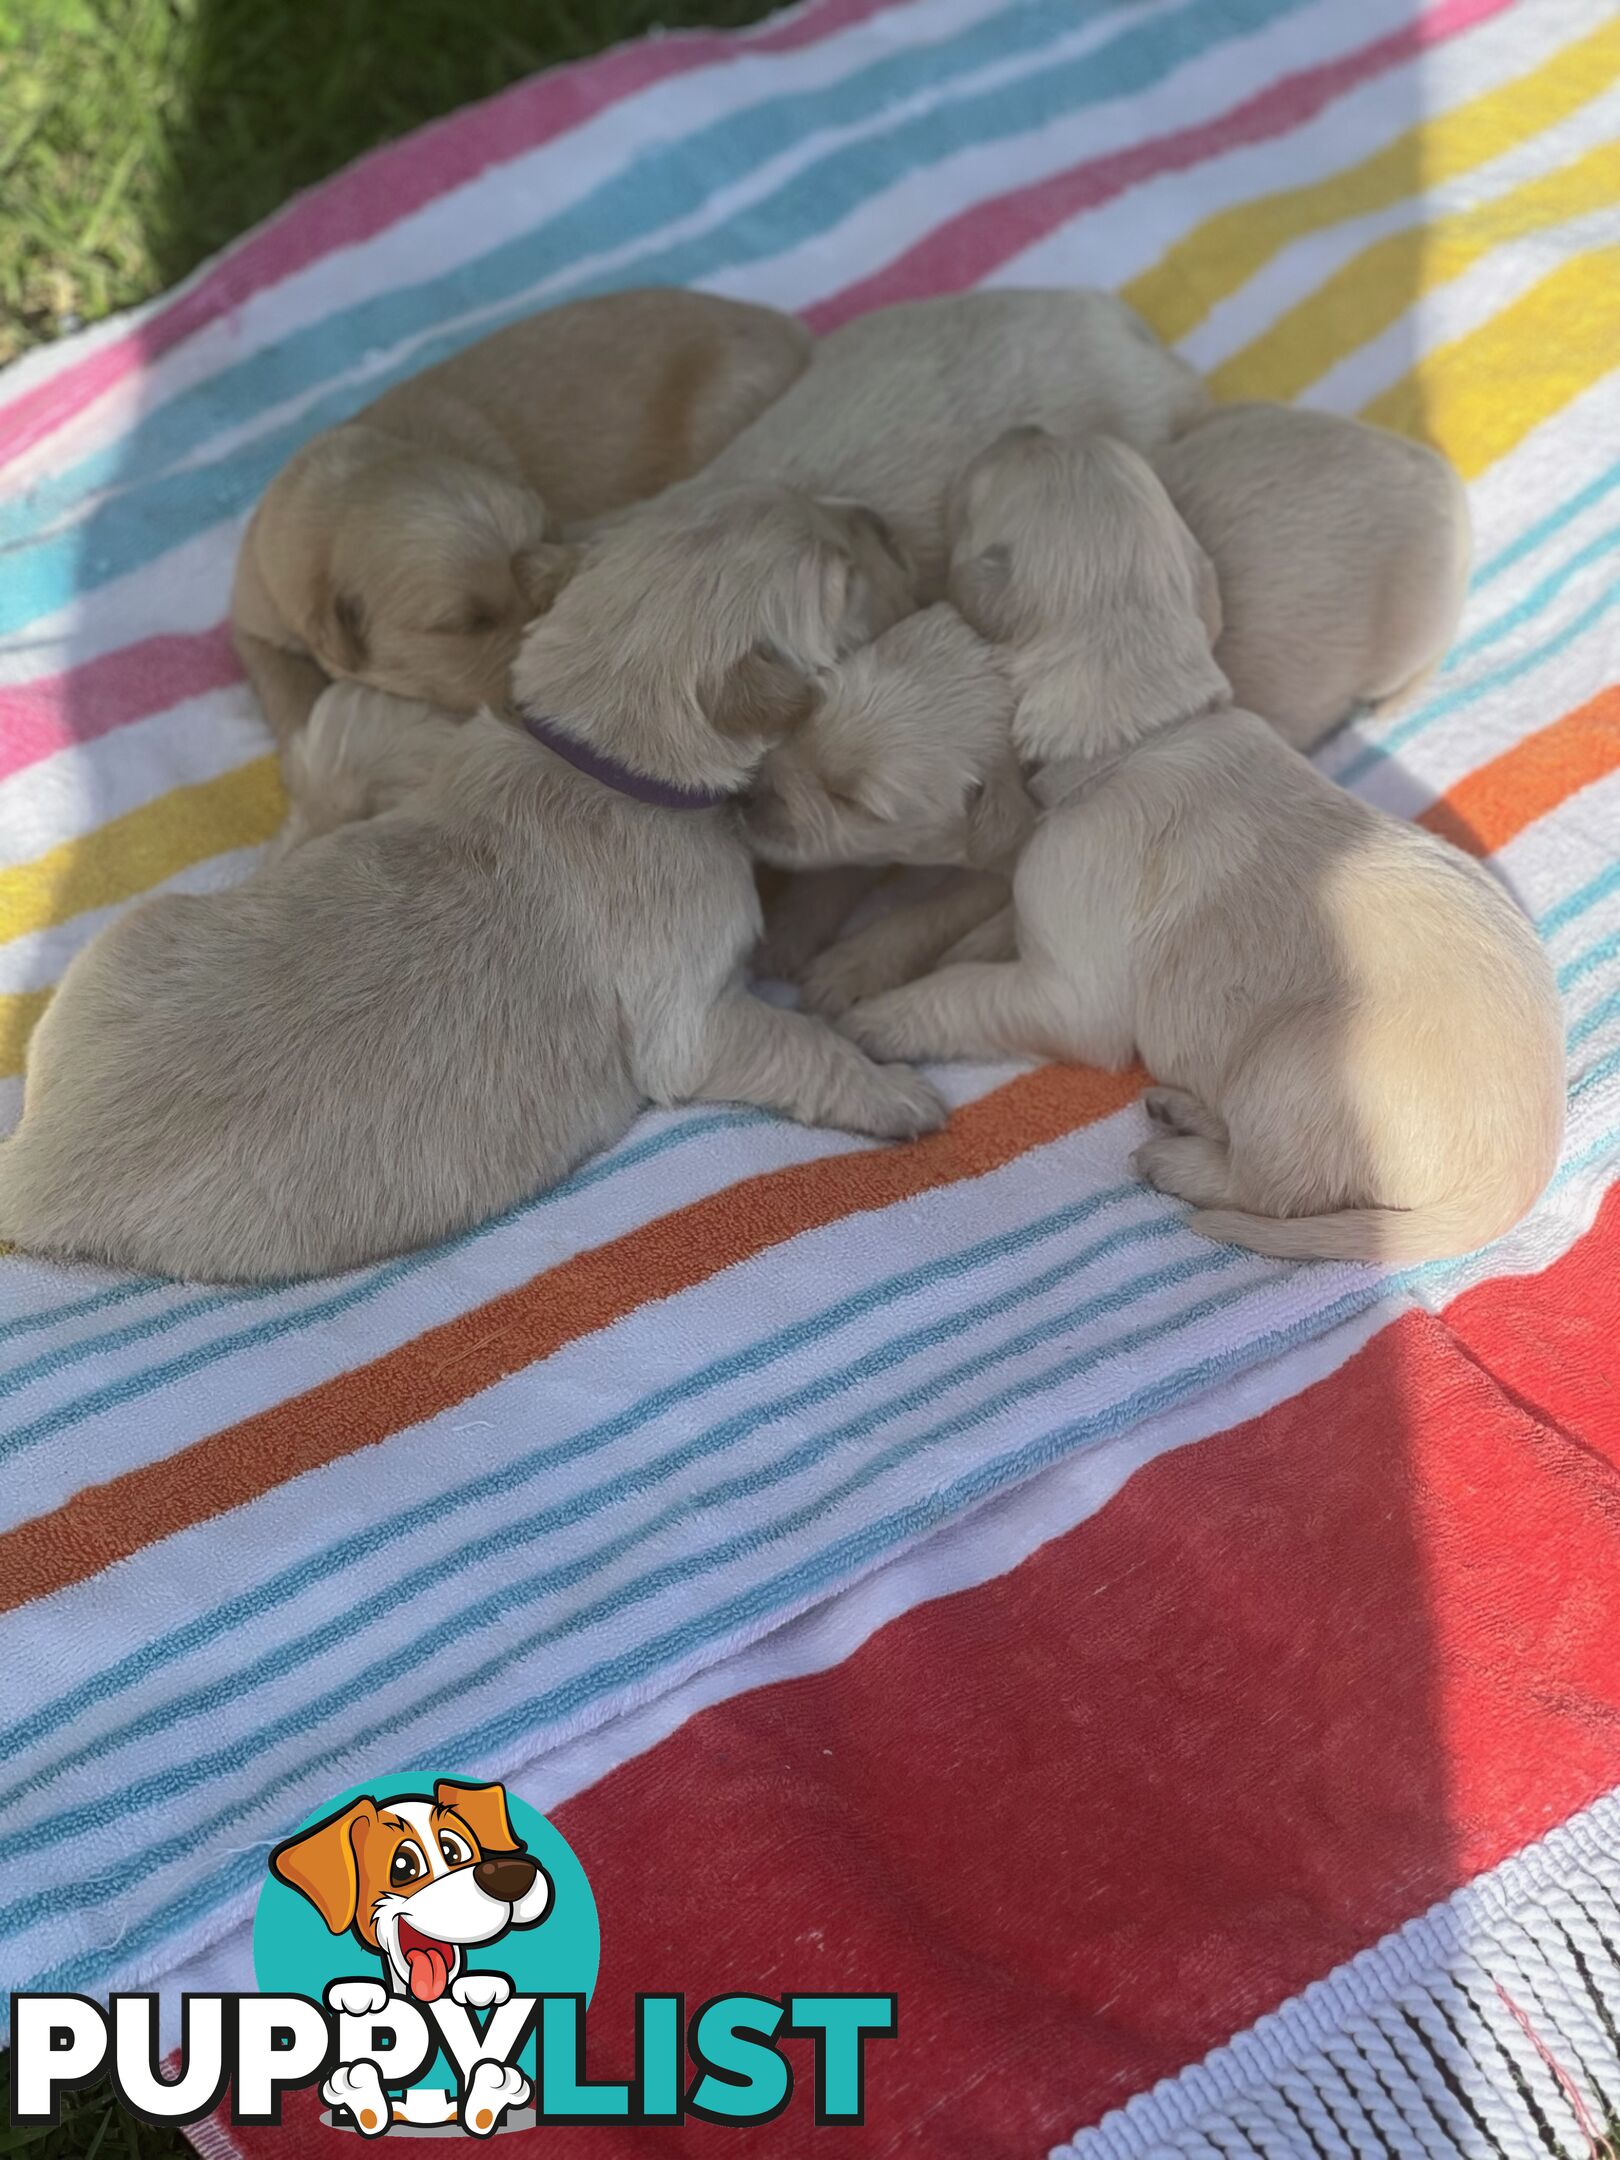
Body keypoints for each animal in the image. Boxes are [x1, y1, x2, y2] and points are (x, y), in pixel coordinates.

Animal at [0, 486, 946, 1278]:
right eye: (843, 572)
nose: (878, 513)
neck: (593, 752)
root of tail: (34, 1164)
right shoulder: (692, 1015)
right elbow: (794, 1043)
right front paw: (891, 1090)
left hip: (127, 940)